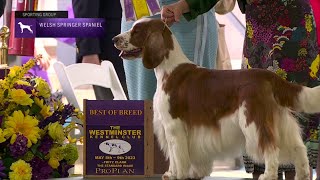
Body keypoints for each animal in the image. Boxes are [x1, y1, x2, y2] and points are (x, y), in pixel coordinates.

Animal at [114, 18, 318, 180]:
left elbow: (177, 155)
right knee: (299, 148)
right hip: (280, 121)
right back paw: (302, 175)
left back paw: (268, 175)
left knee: (271, 147)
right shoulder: (167, 126)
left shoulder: (173, 126)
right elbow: (172, 155)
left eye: (136, 31)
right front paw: (171, 174)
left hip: (253, 121)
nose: (114, 39)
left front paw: (178, 175)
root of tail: (269, 76)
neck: (168, 69)